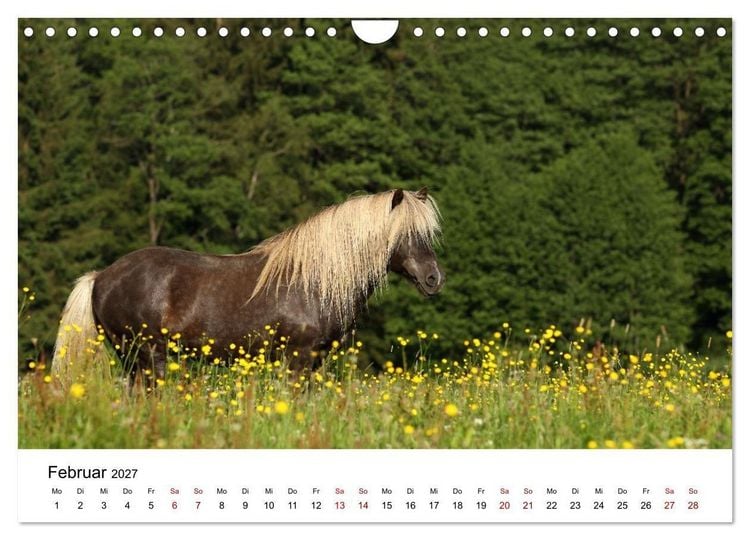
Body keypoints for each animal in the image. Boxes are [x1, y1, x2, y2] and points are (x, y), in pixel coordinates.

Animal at [50, 188, 445, 383]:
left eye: (427, 233)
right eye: (405, 233)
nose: (433, 279)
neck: (314, 281)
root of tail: (101, 276)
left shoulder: (315, 361)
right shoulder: (298, 358)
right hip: (148, 356)